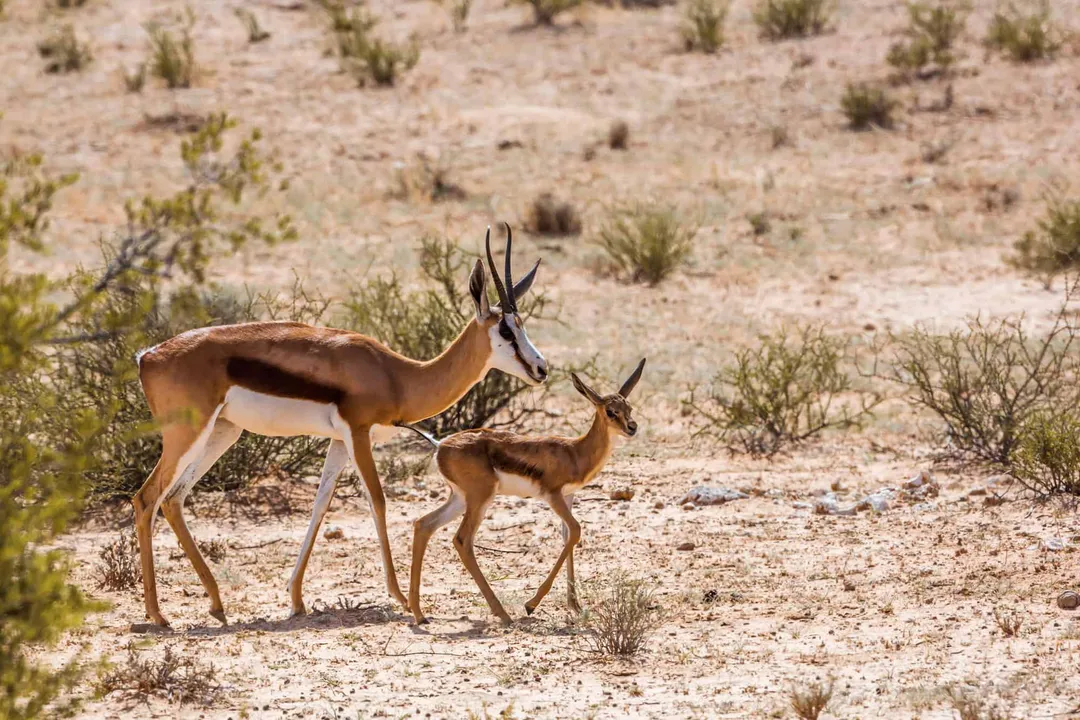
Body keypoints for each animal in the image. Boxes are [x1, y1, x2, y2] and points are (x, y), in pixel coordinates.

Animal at [131, 225, 548, 627]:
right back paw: (158, 615)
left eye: (522, 325)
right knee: (147, 497)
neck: (398, 376)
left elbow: (320, 505)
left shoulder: (339, 442)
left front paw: (297, 599)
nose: (541, 368)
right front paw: (401, 599)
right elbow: (378, 501)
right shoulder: (358, 433)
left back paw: (217, 605)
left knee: (173, 499)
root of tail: (147, 357)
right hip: (187, 435)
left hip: (223, 432)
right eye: (506, 331)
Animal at [405, 358, 646, 625]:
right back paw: (503, 614)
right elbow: (575, 531)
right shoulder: (553, 495)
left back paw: (419, 613)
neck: (575, 452)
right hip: (480, 499)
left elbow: (567, 537)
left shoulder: (569, 496)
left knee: (423, 525)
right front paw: (532, 604)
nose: (632, 427)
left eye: (629, 408)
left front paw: (574, 605)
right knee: (462, 540)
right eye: (610, 411)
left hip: (459, 499)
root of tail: (440, 446)